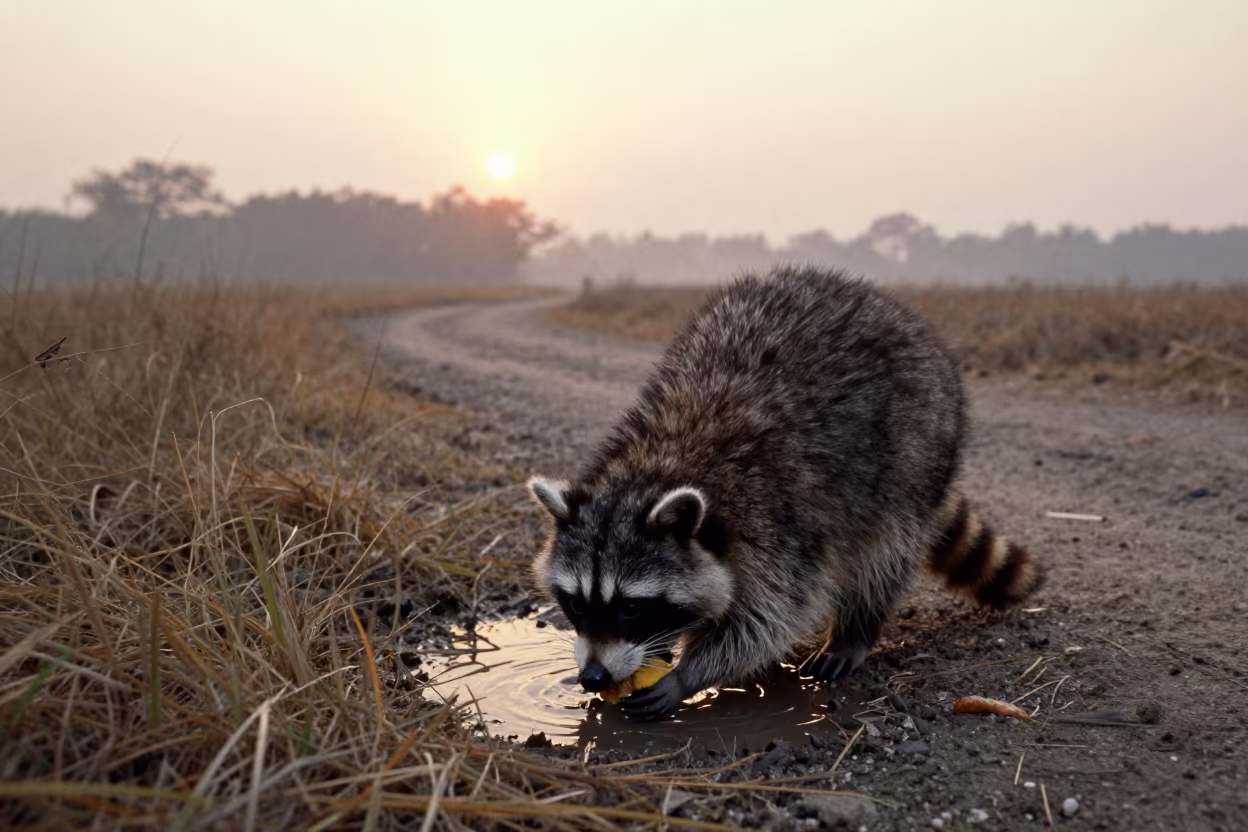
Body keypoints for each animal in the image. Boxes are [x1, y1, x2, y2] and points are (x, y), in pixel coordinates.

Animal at [528, 266, 1043, 719]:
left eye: (632, 607)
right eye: (576, 603)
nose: (593, 677)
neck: (655, 463)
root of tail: (893, 308)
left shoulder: (775, 518)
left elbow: (770, 615)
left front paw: (690, 674)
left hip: (914, 453)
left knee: (884, 554)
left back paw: (855, 630)